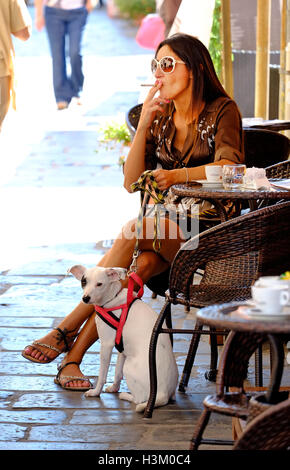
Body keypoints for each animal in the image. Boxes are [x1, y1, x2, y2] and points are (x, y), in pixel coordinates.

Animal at [69, 266, 178, 414]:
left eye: (99, 284)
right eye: (84, 282)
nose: (85, 298)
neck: (112, 299)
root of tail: (163, 393)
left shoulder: (106, 345)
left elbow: (102, 374)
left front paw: (96, 392)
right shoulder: (122, 348)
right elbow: (117, 372)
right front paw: (114, 387)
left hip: (129, 368)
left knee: (139, 400)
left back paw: (126, 395)